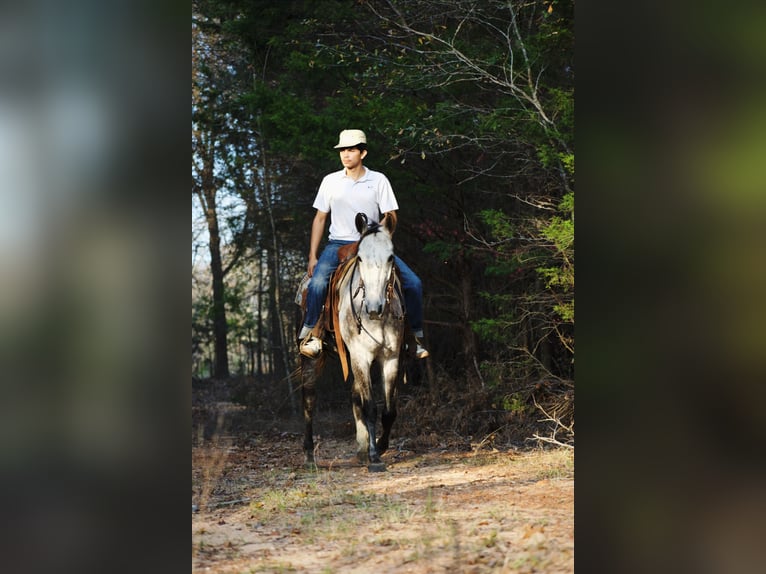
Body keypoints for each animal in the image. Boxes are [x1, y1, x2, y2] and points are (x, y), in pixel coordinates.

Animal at [296, 213, 406, 472]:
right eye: (361, 258)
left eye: (391, 257)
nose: (375, 308)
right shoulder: (361, 356)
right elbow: (370, 407)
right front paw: (375, 458)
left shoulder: (391, 358)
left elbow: (389, 409)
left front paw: (380, 447)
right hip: (311, 359)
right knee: (309, 399)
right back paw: (309, 456)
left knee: (355, 396)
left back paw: (361, 450)